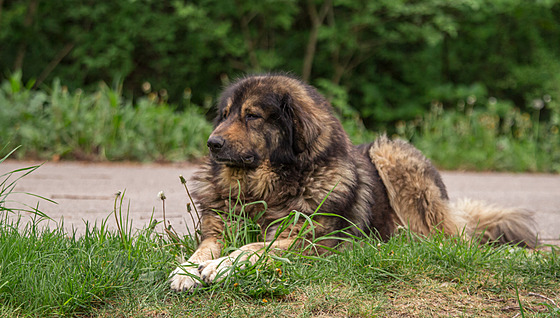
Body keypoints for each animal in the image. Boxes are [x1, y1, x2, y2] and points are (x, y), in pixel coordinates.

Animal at [168, 74, 536, 290]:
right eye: (225, 114)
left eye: (252, 116)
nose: (212, 143)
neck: (264, 189)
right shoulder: (218, 228)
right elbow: (204, 248)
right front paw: (188, 269)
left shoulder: (312, 238)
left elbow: (254, 247)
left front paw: (222, 267)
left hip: (391, 154)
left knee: (444, 237)